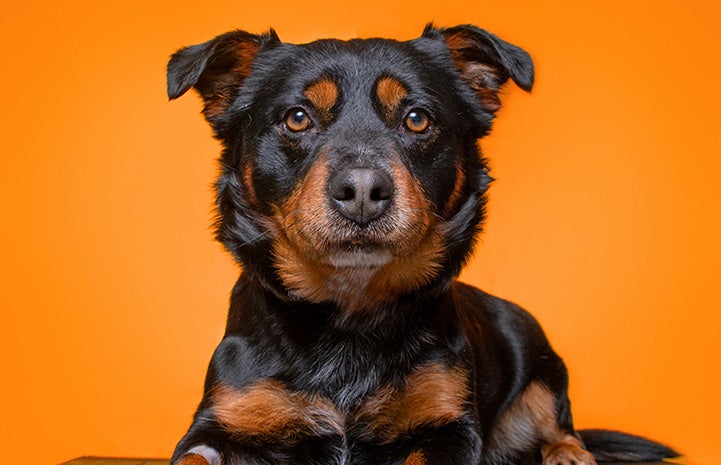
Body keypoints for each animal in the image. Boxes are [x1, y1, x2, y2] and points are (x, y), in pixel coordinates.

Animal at [165, 24, 676, 464]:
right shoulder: (220, 422)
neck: (349, 316)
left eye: (416, 119)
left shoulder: (447, 425)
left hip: (544, 369)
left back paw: (569, 454)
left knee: (562, 429)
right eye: (296, 118)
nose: (363, 189)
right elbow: (193, 454)